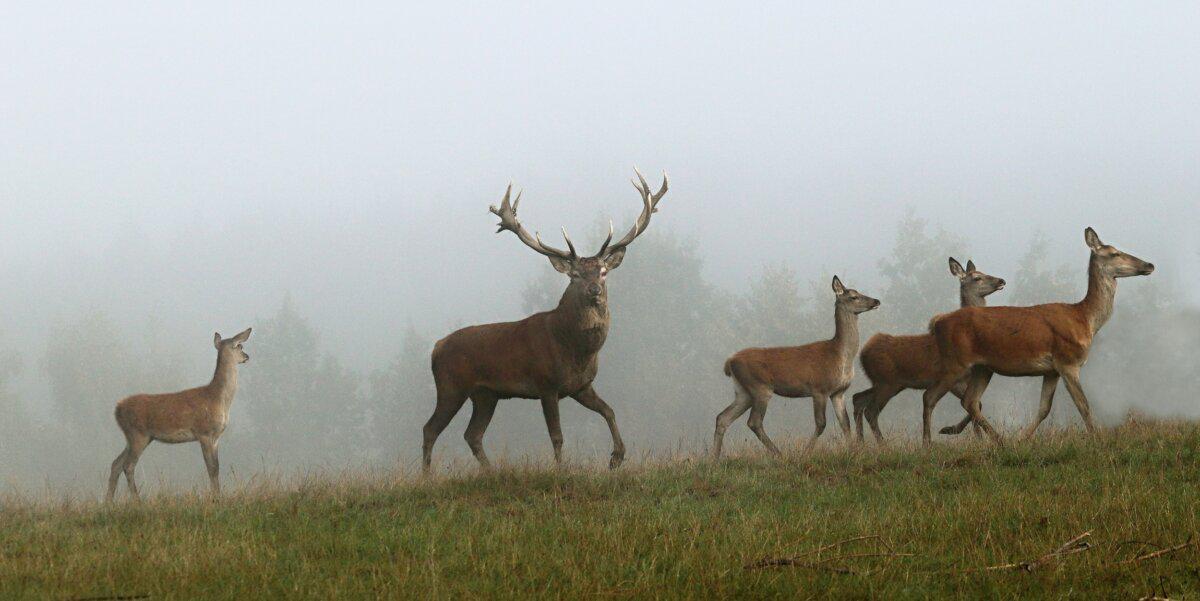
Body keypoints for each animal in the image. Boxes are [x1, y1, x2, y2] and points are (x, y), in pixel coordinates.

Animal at [106, 328, 250, 501]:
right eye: (240, 346)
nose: (247, 356)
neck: (217, 398)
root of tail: (117, 409)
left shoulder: (216, 437)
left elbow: (217, 467)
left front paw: (218, 496)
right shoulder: (204, 432)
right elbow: (211, 468)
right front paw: (215, 498)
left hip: (134, 437)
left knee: (116, 464)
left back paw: (109, 502)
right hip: (138, 434)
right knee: (128, 465)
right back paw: (137, 501)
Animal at [422, 167, 667, 467]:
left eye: (603, 272)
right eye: (575, 275)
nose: (594, 290)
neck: (575, 349)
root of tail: (436, 347)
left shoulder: (581, 386)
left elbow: (609, 410)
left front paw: (617, 457)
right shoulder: (546, 385)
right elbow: (557, 436)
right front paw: (561, 470)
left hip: (486, 394)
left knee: (472, 434)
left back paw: (490, 471)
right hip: (451, 385)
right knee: (430, 428)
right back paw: (427, 474)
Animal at [710, 277, 883, 458]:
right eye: (853, 296)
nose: (876, 301)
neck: (840, 355)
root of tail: (729, 362)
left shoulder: (838, 392)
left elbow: (845, 423)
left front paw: (852, 451)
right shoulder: (819, 389)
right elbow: (821, 424)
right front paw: (806, 453)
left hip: (743, 391)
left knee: (723, 417)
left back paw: (715, 458)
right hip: (759, 387)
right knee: (753, 422)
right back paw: (778, 454)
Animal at [849, 255, 1008, 443]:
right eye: (977, 278)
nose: (1001, 280)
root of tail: (862, 354)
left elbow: (977, 405)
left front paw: (976, 437)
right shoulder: (954, 379)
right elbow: (973, 404)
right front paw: (954, 431)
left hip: (883, 382)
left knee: (858, 399)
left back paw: (860, 441)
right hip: (887, 382)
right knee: (871, 410)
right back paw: (882, 443)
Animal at [916, 226, 1152, 443]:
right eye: (1114, 253)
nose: (1149, 264)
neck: (1085, 320)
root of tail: (937, 322)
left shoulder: (1051, 370)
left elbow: (1044, 409)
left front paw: (1022, 439)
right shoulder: (1068, 361)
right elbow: (1083, 405)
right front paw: (1097, 439)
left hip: (982, 367)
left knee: (969, 401)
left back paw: (999, 441)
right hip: (955, 362)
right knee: (930, 396)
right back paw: (928, 444)